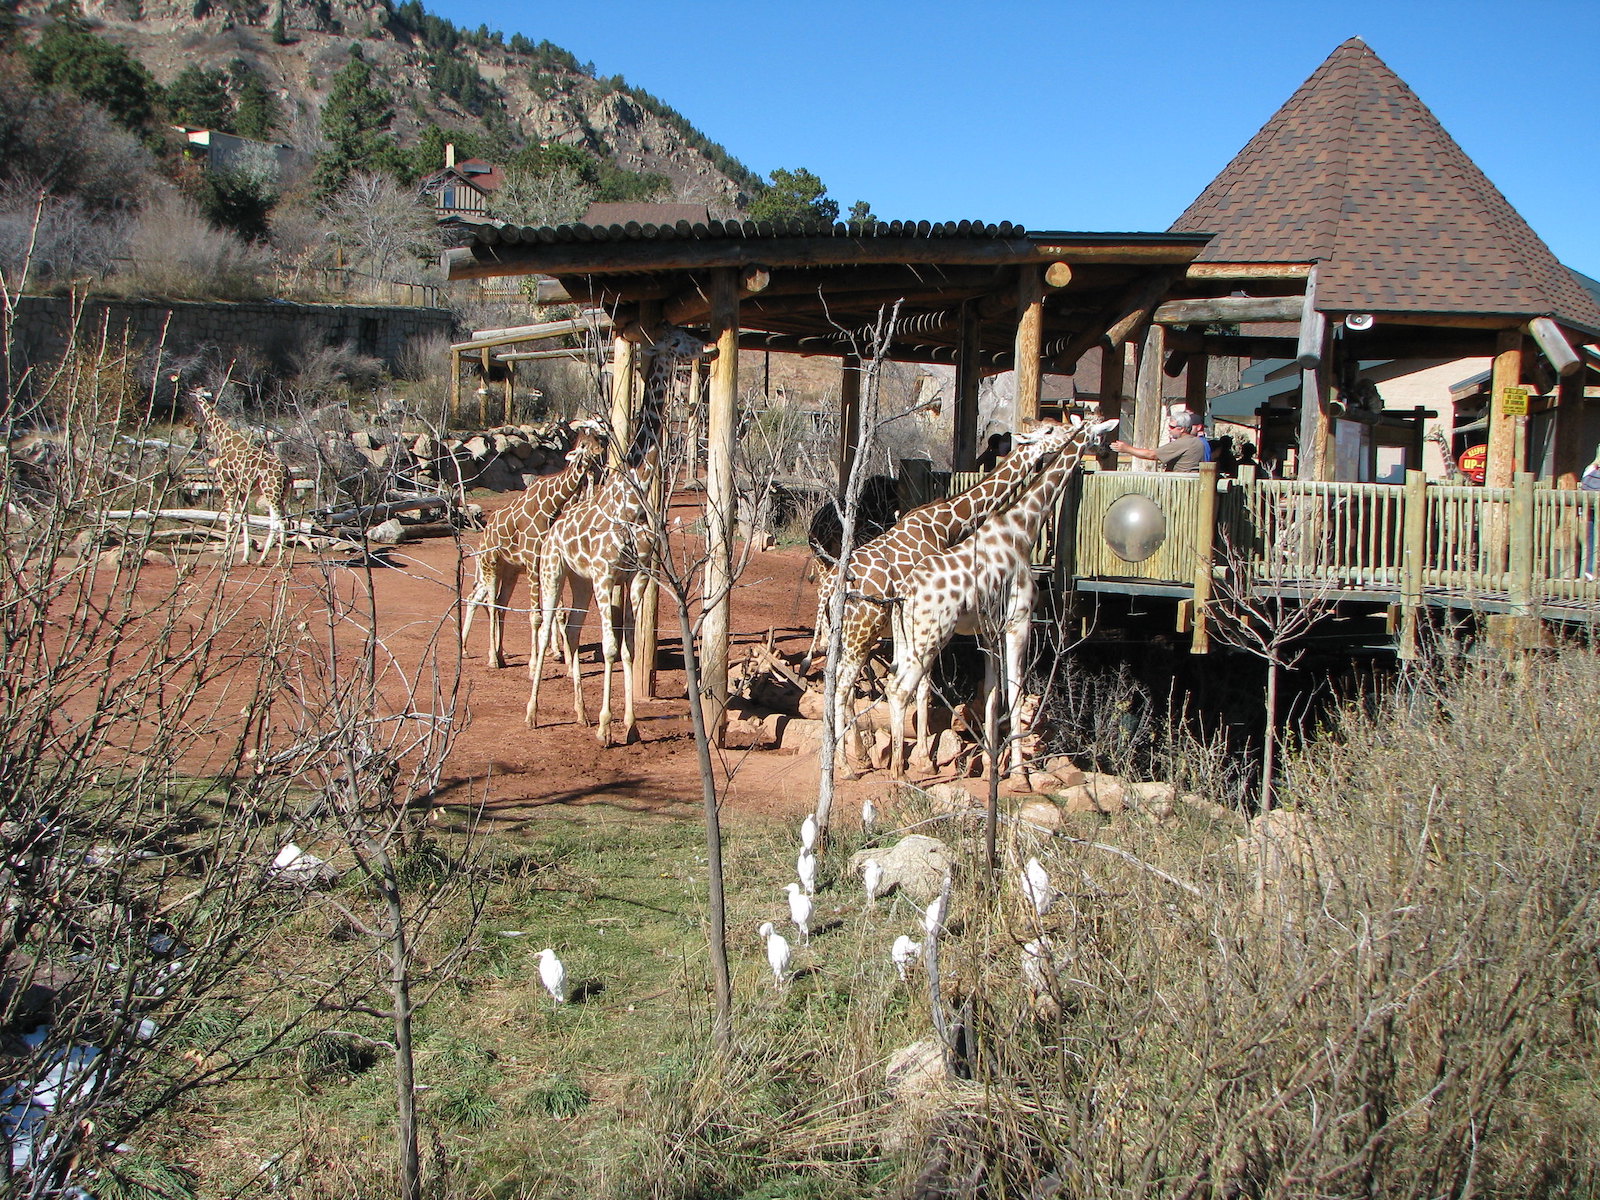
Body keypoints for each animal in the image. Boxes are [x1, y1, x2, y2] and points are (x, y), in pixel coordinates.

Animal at [193, 392, 294, 566]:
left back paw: (278, 561)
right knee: (276, 521)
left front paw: (226, 558)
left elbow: (229, 520)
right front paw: (244, 557)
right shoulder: (243, 491)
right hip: (280, 495)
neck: (224, 438)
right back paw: (264, 559)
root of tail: (288, 472)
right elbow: (244, 520)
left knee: (281, 522)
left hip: (272, 493)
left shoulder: (227, 486)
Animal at [467, 422, 614, 672]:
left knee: (500, 603)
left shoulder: (548, 561)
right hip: (490, 565)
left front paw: (564, 658)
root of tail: (484, 534)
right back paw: (492, 659)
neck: (550, 504)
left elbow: (556, 612)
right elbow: (537, 616)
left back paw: (501, 655)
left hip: (510, 571)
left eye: (599, 439)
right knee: (490, 603)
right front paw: (535, 664)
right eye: (583, 444)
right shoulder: (532, 559)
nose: (597, 453)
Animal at [528, 326, 704, 742]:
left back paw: (580, 714)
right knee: (546, 630)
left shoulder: (634, 577)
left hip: (579, 581)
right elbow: (609, 648)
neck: (630, 502)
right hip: (553, 571)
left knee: (572, 630)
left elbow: (628, 649)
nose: (705, 344)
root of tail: (553, 531)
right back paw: (532, 713)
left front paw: (630, 725)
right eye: (675, 341)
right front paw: (607, 727)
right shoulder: (606, 576)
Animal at [806, 422, 1081, 780]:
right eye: (1049, 430)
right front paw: (924, 759)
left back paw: (854, 758)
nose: (1073, 431)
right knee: (842, 686)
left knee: (837, 683)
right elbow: (924, 688)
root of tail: (828, 591)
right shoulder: (931, 625)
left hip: (845, 635)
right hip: (862, 632)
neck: (945, 523)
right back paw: (848, 765)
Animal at [883, 419, 1120, 784]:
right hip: (931, 637)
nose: (1108, 451)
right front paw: (1020, 774)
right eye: (1100, 433)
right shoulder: (1018, 622)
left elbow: (993, 696)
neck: (1023, 527)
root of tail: (904, 593)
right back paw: (899, 771)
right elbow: (1016, 693)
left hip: (906, 639)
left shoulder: (988, 632)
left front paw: (990, 766)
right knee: (898, 689)